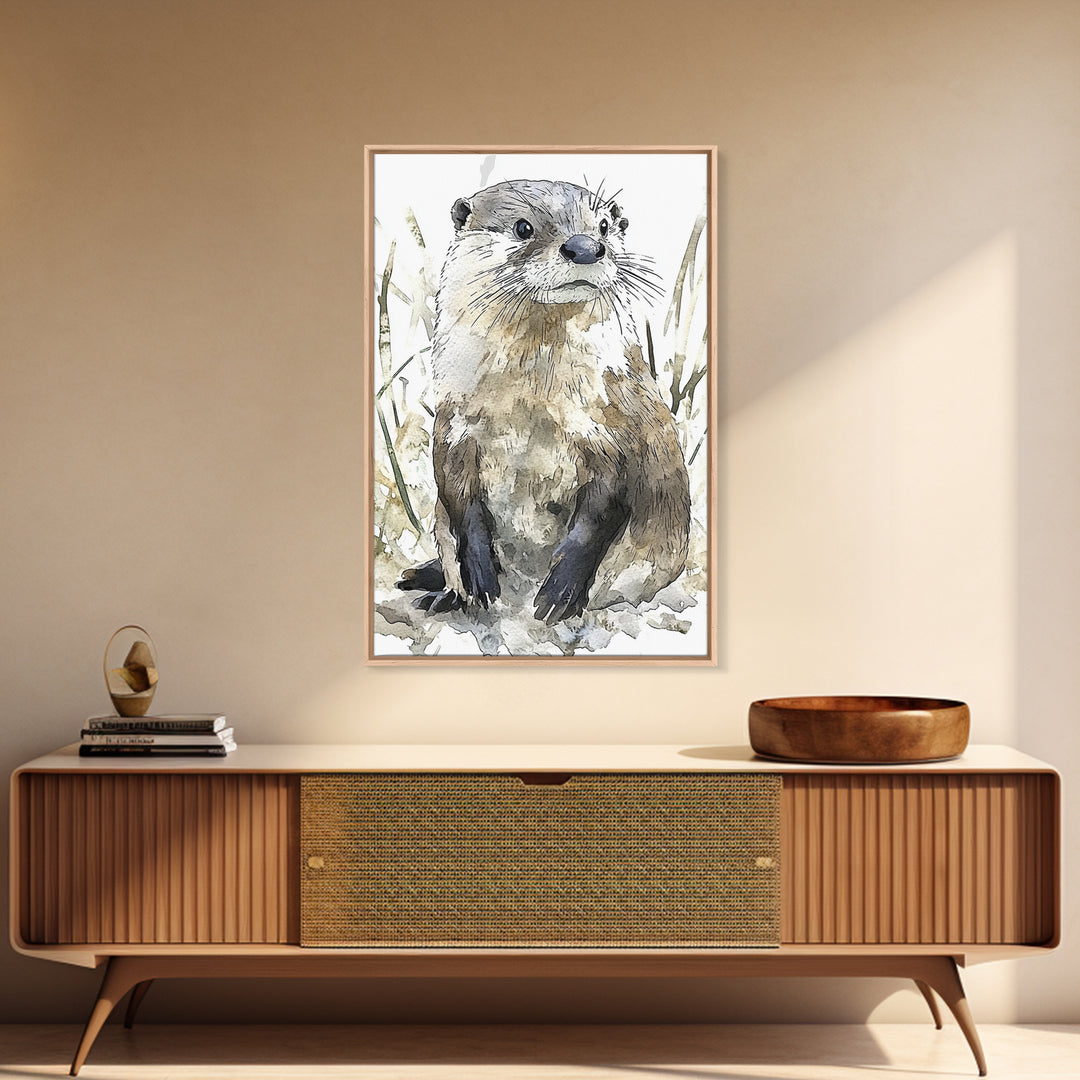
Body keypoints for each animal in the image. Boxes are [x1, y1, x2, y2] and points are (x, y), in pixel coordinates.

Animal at [397, 178, 691, 625]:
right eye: (523, 227)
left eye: (604, 226)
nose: (585, 246)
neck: (530, 407)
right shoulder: (453, 427)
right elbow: (458, 499)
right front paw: (479, 576)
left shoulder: (616, 429)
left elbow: (599, 514)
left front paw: (559, 593)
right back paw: (443, 594)